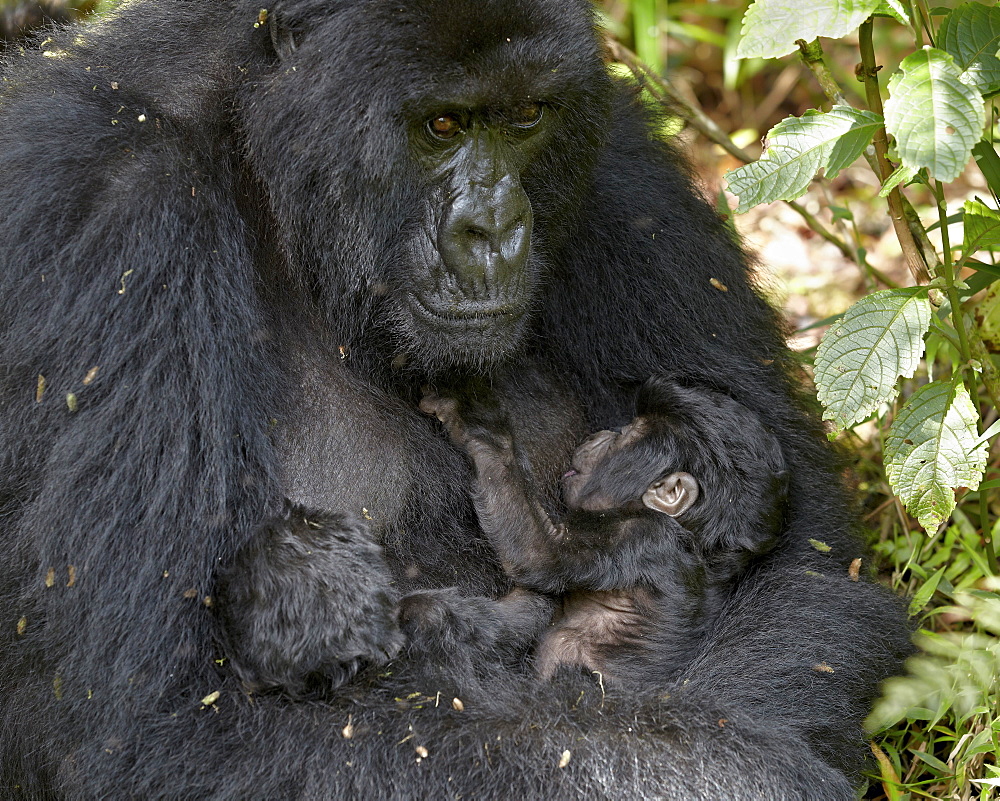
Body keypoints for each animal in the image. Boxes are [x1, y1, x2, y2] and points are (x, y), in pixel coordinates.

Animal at [410, 376, 792, 680]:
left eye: (626, 437)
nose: (604, 433)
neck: (692, 540)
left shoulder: (641, 537)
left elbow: (541, 552)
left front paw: (473, 418)